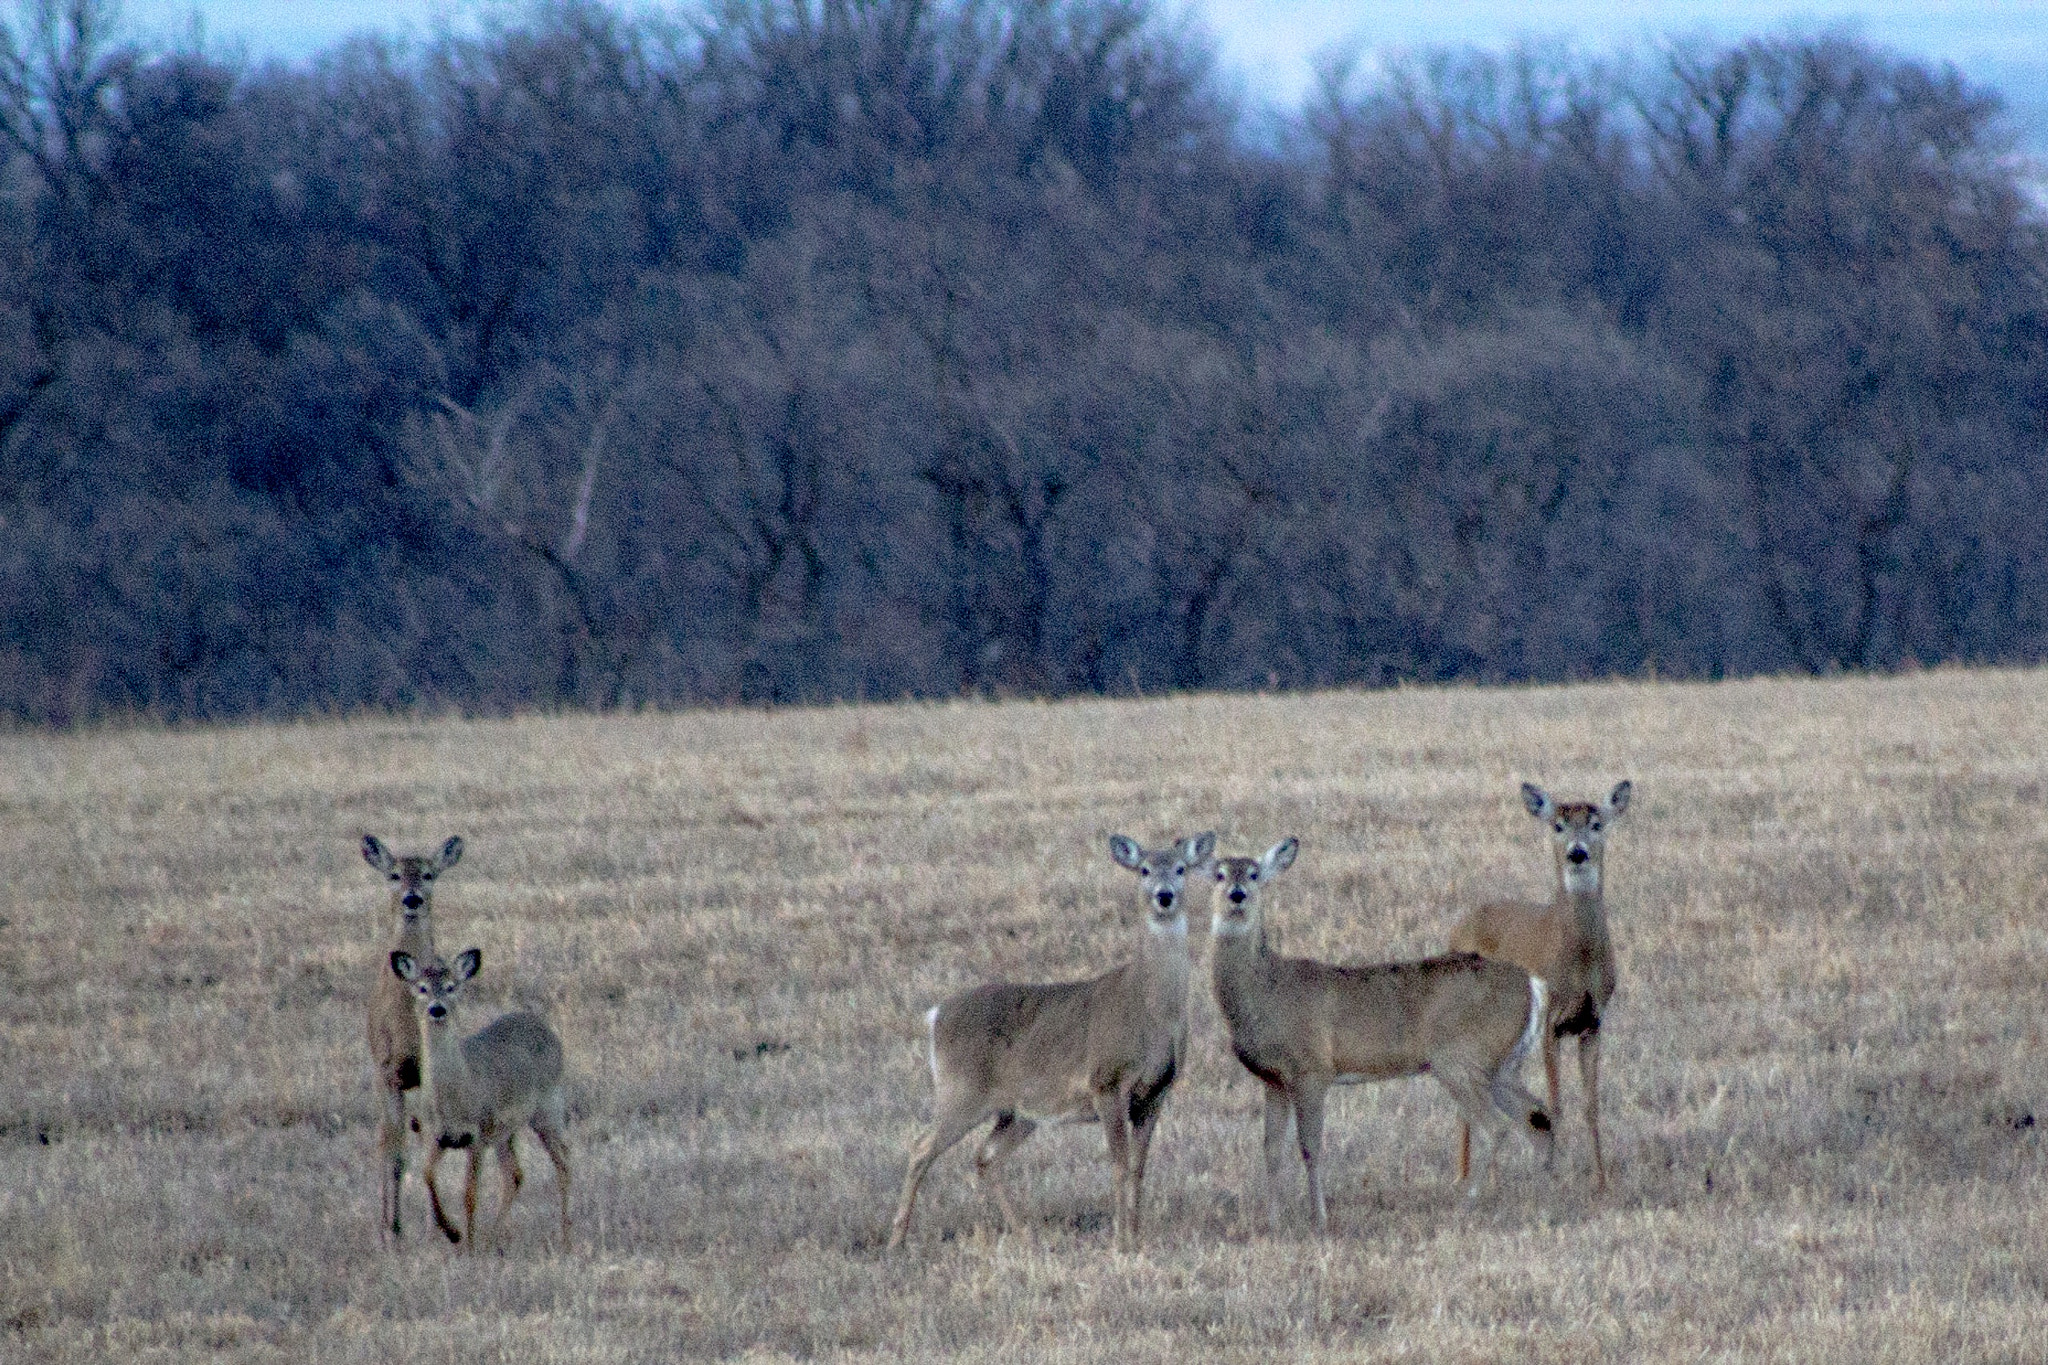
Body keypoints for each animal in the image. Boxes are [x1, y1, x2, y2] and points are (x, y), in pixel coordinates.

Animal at [387, 949, 569, 1252]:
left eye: (451, 987)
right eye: (422, 988)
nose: (437, 1009)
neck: (454, 1098)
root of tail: (544, 1027)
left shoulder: (478, 1133)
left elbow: (470, 1193)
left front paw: (468, 1245)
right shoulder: (435, 1134)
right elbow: (427, 1175)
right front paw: (452, 1232)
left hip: (547, 1106)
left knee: (563, 1161)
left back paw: (565, 1232)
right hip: (505, 1130)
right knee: (515, 1173)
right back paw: (496, 1237)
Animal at [884, 826, 1212, 1252]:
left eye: (1180, 868)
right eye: (1143, 869)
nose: (1164, 895)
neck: (1150, 1008)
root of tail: (936, 1016)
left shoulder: (1157, 1092)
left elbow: (1139, 1168)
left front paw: (1137, 1236)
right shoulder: (1106, 1081)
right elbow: (1120, 1164)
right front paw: (1121, 1240)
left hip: (1018, 1110)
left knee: (986, 1156)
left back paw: (1023, 1233)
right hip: (962, 1091)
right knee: (921, 1148)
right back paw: (896, 1241)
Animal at [1196, 839, 1548, 1236]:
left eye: (1255, 873)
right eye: (1219, 873)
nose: (1237, 894)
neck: (1266, 990)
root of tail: (1532, 984)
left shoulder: (1312, 1069)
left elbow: (1310, 1146)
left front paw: (1319, 1218)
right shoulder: (1273, 1079)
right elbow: (1271, 1149)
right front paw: (1273, 1221)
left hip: (1459, 1058)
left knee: (1494, 1127)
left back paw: (1467, 1205)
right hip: (1501, 1064)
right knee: (1537, 1115)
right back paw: (1546, 1194)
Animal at [1449, 777, 1638, 1195]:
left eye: (1597, 824)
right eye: (1558, 825)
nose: (1577, 853)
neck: (1577, 962)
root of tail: (1460, 923)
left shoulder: (1593, 1022)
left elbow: (1590, 1103)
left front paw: (1601, 1179)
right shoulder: (1552, 1019)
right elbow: (1556, 1102)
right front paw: (1557, 1172)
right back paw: (1465, 1175)